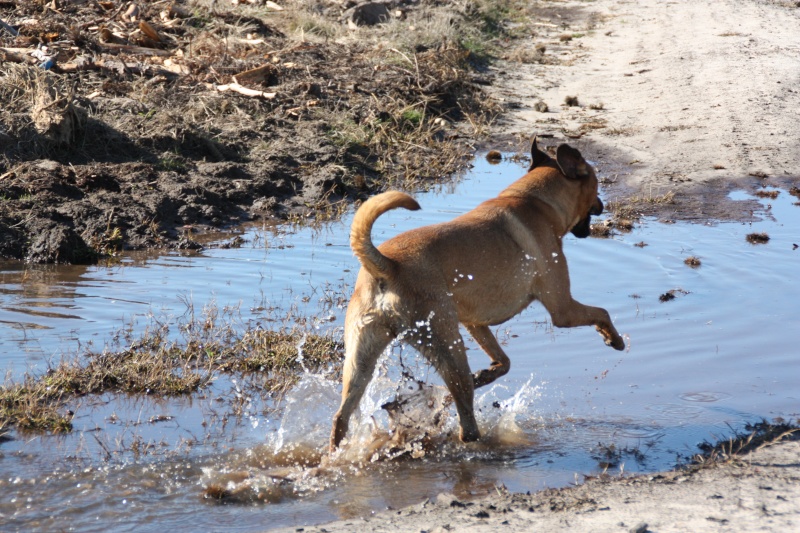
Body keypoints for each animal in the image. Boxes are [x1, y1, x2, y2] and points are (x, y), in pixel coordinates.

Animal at [328, 137, 620, 448]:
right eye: (595, 183)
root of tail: (387, 266)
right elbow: (602, 312)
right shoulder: (562, 308)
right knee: (466, 423)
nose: (601, 205)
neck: (537, 202)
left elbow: (503, 362)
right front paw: (613, 339)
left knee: (341, 416)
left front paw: (485, 373)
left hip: (360, 360)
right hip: (447, 346)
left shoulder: (474, 322)